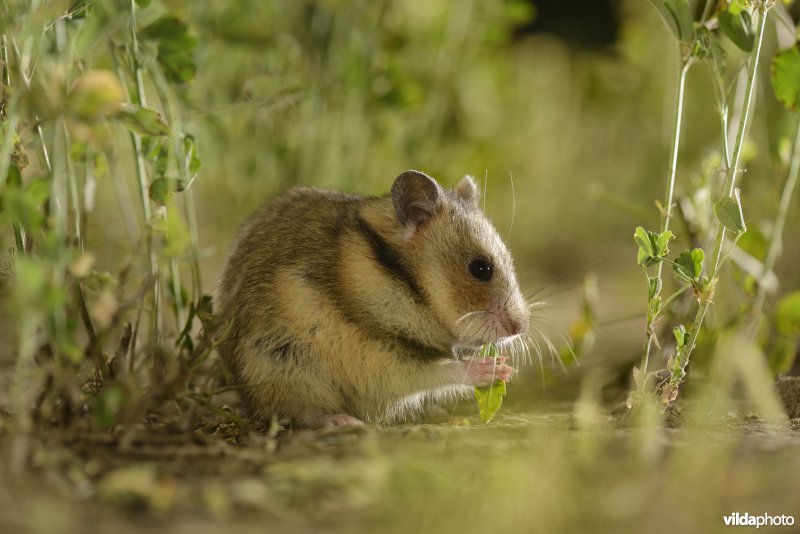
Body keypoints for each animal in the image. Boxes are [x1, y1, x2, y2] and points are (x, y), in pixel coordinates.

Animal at [215, 170, 530, 429]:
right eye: (480, 268)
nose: (521, 328)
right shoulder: (377, 360)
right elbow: (436, 372)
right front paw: (499, 369)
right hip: (284, 367)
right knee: (298, 413)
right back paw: (342, 421)